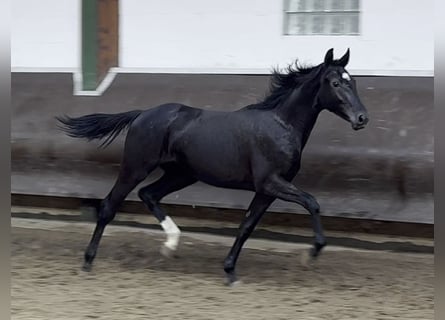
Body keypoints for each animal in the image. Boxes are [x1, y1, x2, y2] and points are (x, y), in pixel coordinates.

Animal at [56, 48, 368, 284]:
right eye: (335, 83)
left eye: (352, 82)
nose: (362, 118)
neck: (280, 126)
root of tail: (142, 113)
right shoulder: (271, 182)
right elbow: (312, 202)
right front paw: (310, 254)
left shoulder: (267, 190)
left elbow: (246, 226)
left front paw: (230, 271)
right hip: (135, 167)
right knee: (110, 205)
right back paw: (88, 261)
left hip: (182, 174)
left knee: (149, 194)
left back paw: (171, 245)